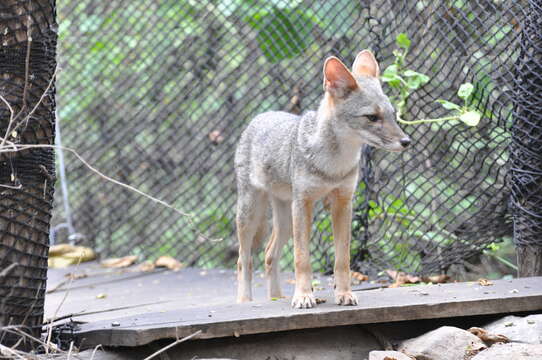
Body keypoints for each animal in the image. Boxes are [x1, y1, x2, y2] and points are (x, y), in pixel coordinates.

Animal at [236, 50, 410, 310]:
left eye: (393, 115)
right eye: (372, 117)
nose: (407, 141)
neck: (334, 166)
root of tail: (263, 115)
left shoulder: (342, 203)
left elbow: (342, 259)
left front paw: (344, 293)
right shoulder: (304, 204)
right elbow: (302, 259)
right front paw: (303, 296)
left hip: (285, 221)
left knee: (269, 255)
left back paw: (277, 298)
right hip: (252, 215)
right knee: (244, 260)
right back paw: (245, 301)